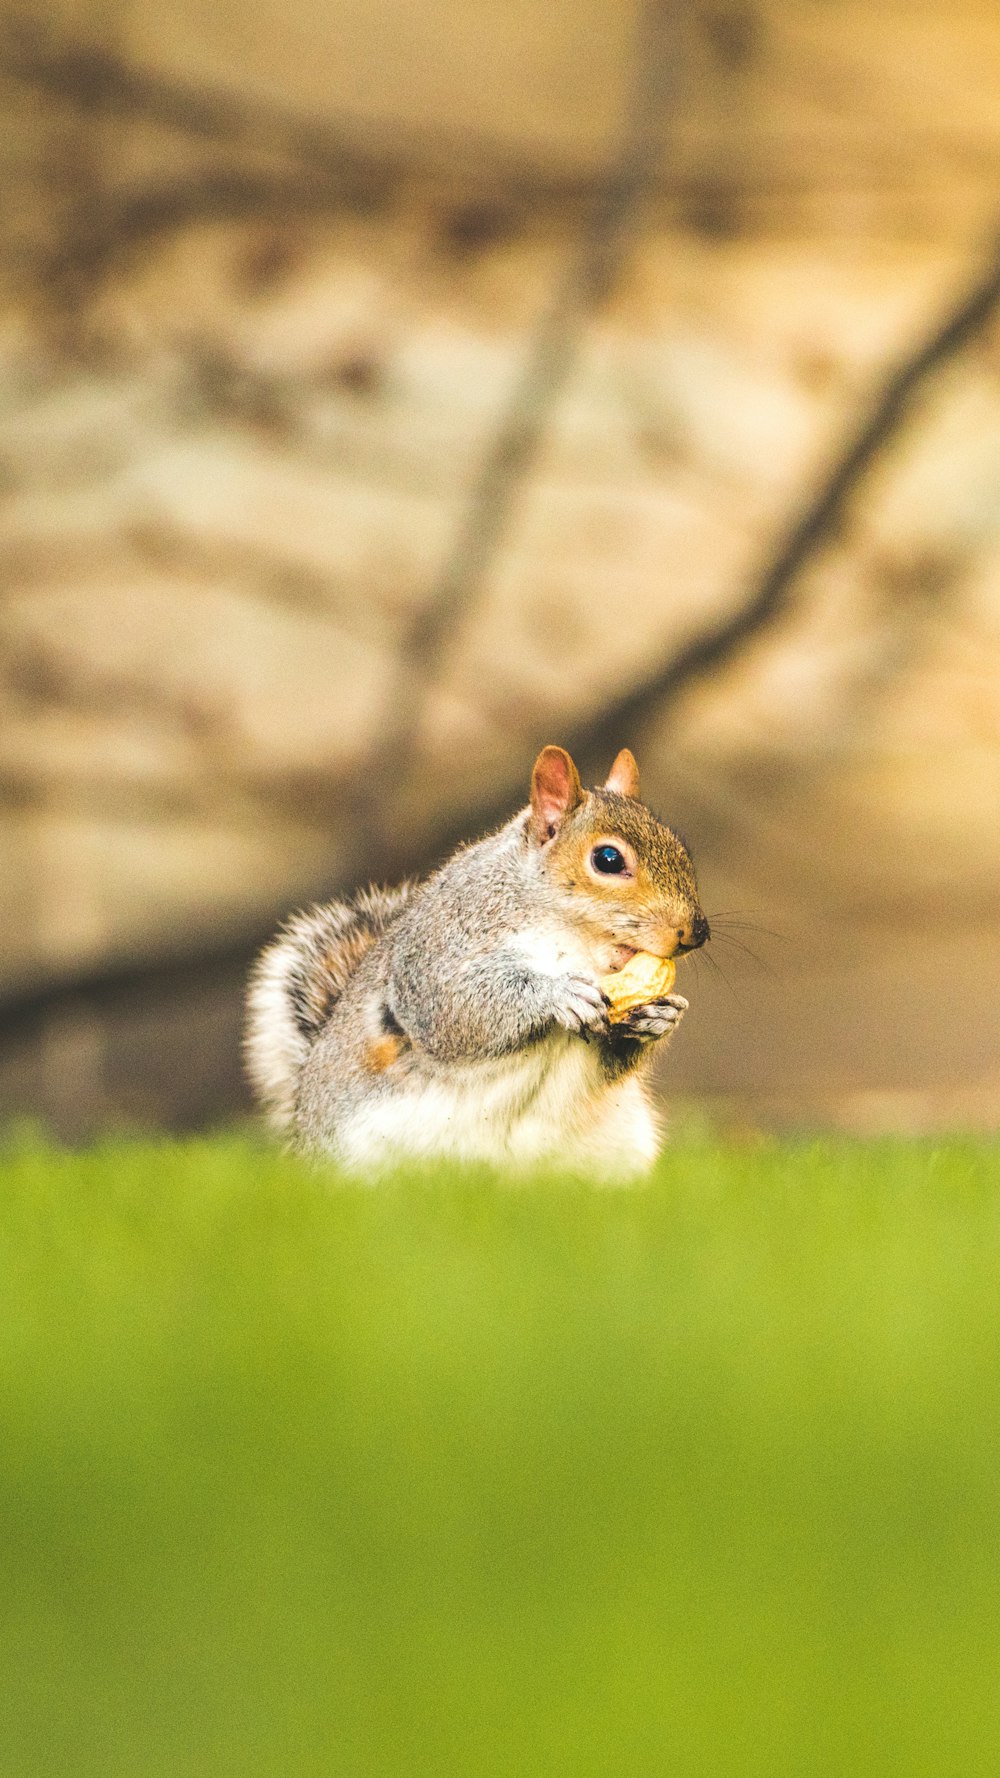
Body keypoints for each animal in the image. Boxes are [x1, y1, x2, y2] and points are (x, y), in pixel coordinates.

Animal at [243, 746, 704, 1180]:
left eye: (681, 848)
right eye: (608, 859)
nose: (696, 931)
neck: (573, 941)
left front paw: (663, 1016)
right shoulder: (436, 953)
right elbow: (456, 1008)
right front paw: (558, 994)